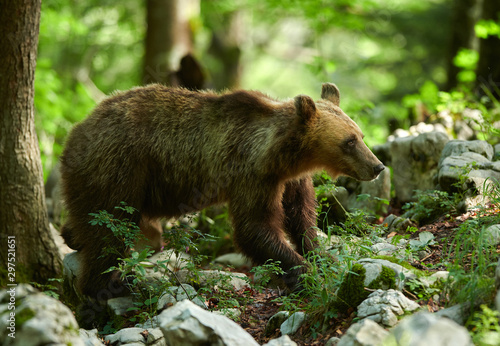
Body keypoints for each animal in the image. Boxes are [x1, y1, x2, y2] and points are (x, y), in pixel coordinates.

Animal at [60, 82, 384, 298]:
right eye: (349, 141)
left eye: (361, 135)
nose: (377, 166)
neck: (283, 155)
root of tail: (76, 131)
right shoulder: (251, 173)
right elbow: (255, 227)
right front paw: (303, 270)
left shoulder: (291, 180)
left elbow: (300, 218)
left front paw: (323, 255)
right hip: (118, 167)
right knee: (108, 229)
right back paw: (114, 285)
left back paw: (72, 237)